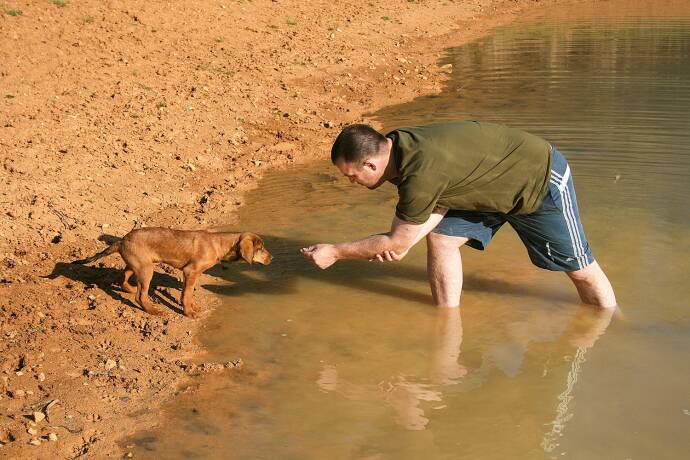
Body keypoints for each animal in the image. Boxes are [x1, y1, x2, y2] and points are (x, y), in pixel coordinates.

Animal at [72, 228, 272, 318]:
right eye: (261, 248)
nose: (272, 258)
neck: (218, 244)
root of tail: (121, 240)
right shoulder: (190, 272)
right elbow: (186, 294)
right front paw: (188, 312)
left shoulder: (192, 275)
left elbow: (189, 294)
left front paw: (193, 307)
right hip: (147, 270)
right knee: (140, 296)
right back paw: (153, 311)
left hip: (139, 264)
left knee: (123, 277)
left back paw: (129, 289)